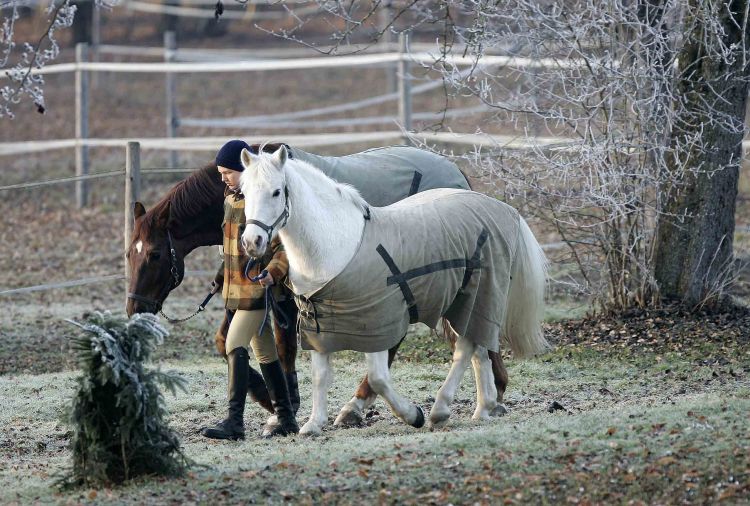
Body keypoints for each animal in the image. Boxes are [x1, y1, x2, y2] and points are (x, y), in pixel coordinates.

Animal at [126, 144, 512, 424]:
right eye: (130, 252)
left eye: (155, 254)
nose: (134, 308)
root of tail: (457, 176)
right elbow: (227, 342)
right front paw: (270, 398)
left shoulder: (285, 296)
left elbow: (284, 349)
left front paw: (280, 406)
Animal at [241, 145, 552, 434]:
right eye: (243, 192)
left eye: (277, 192)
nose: (252, 242)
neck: (337, 245)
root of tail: (502, 209)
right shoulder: (317, 325)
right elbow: (320, 375)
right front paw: (314, 424)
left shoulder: (376, 321)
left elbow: (378, 377)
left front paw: (413, 415)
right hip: (464, 301)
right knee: (477, 347)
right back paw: (483, 407)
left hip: (475, 295)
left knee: (465, 348)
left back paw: (440, 410)